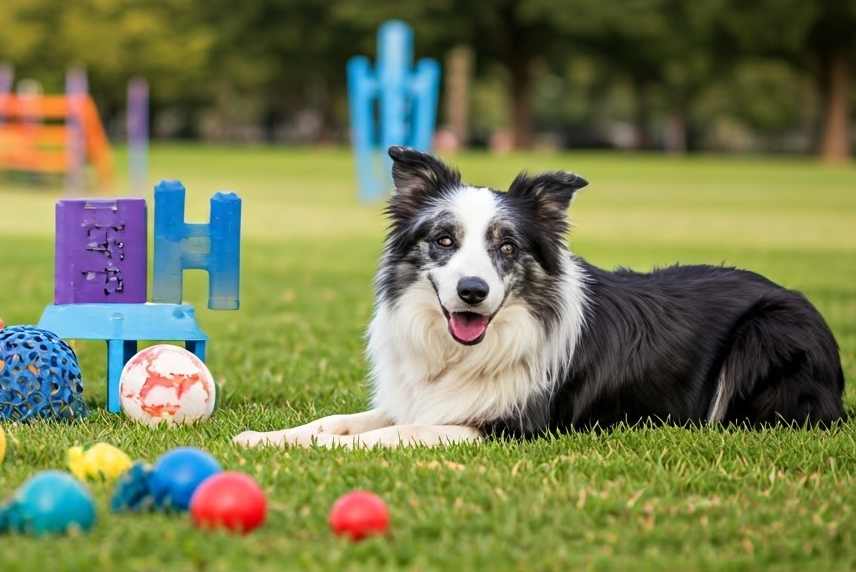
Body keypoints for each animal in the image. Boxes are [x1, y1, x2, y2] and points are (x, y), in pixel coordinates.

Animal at [232, 145, 844, 450]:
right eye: (444, 240)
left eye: (507, 246)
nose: (472, 292)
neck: (465, 352)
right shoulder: (419, 398)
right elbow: (338, 420)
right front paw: (266, 438)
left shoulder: (511, 426)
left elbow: (398, 433)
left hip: (767, 332)